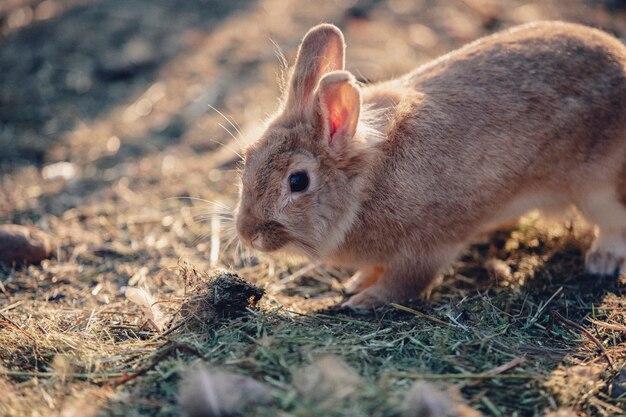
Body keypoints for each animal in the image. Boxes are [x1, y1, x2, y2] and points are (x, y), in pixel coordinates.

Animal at [233, 22, 624, 308]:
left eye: (298, 181)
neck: (365, 186)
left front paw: (364, 300)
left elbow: (405, 283)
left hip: (598, 191)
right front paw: (357, 283)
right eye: (248, 156)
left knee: (614, 223)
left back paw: (602, 260)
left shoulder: (425, 247)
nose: (247, 233)